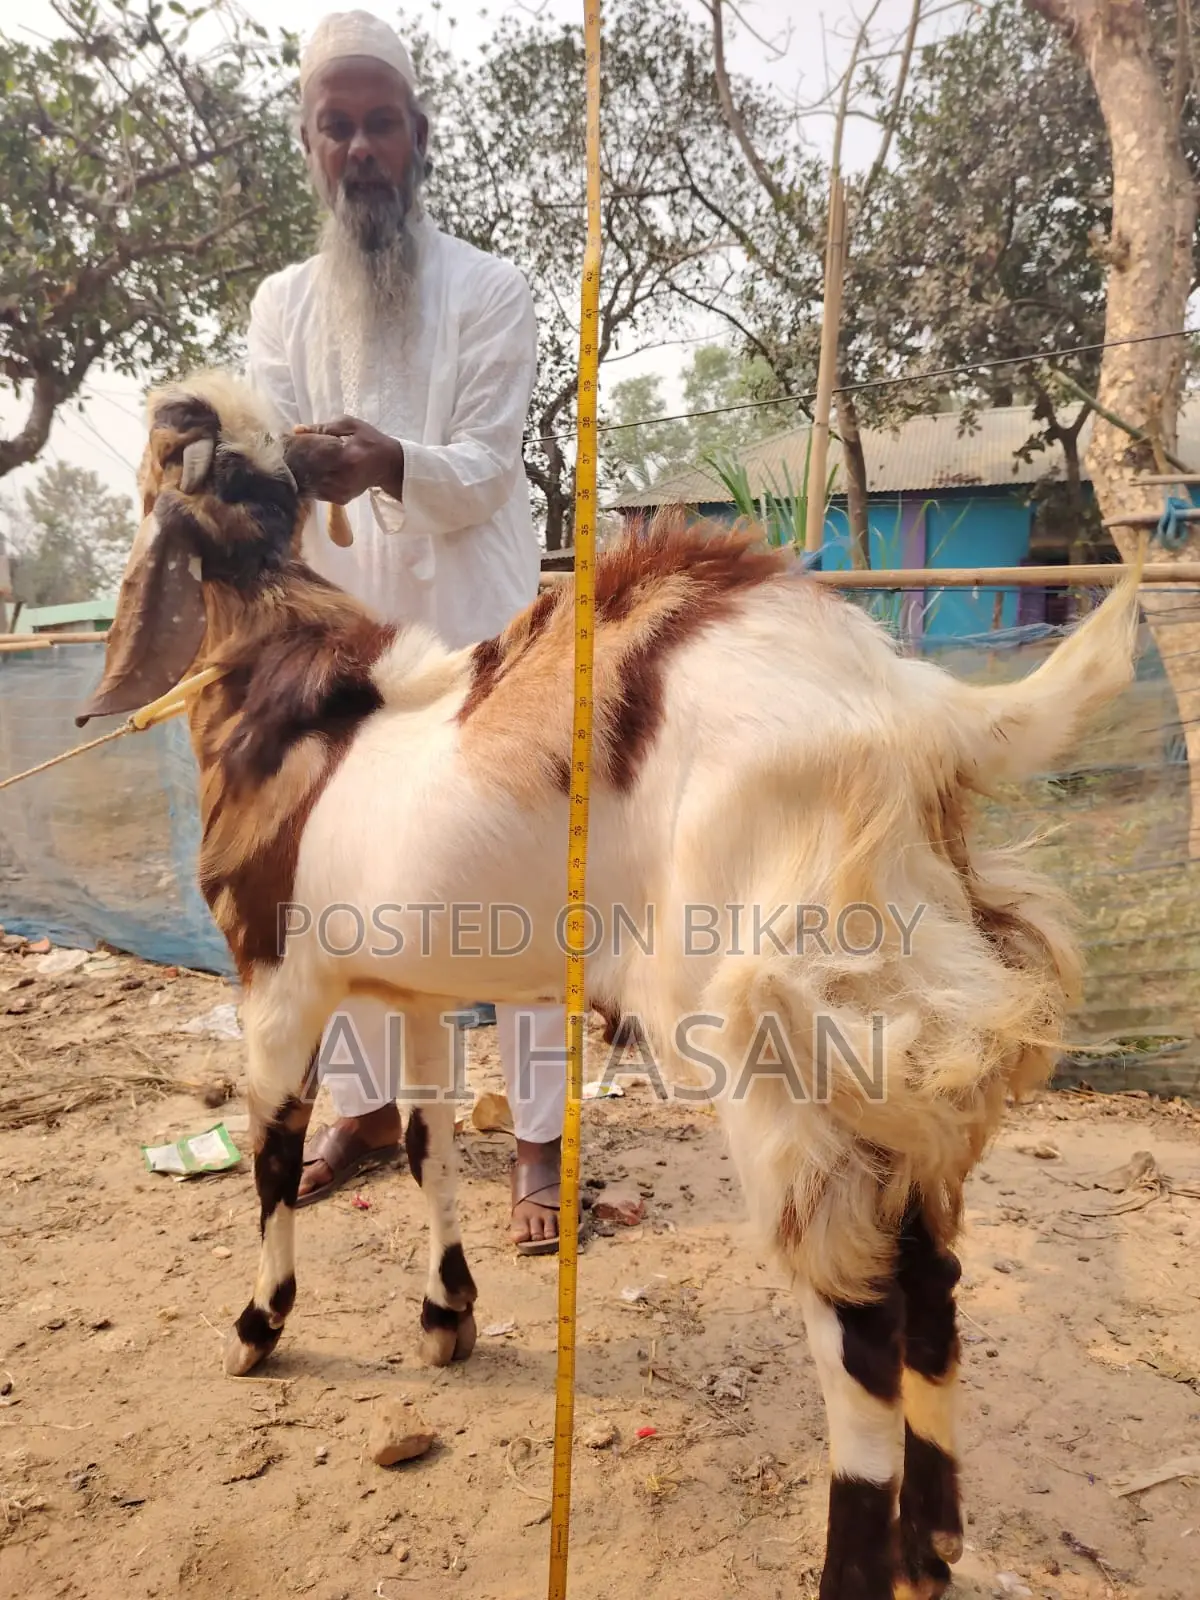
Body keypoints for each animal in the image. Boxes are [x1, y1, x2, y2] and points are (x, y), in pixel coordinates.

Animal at [78, 371, 1141, 1600]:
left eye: (180, 459)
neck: (279, 680)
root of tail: (916, 708)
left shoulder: (277, 977)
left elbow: (275, 1159)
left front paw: (257, 1328)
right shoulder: (413, 991)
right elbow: (428, 1150)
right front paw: (446, 1315)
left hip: (774, 1028)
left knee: (860, 1322)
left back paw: (864, 1561)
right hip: (894, 1036)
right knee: (930, 1273)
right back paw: (932, 1548)